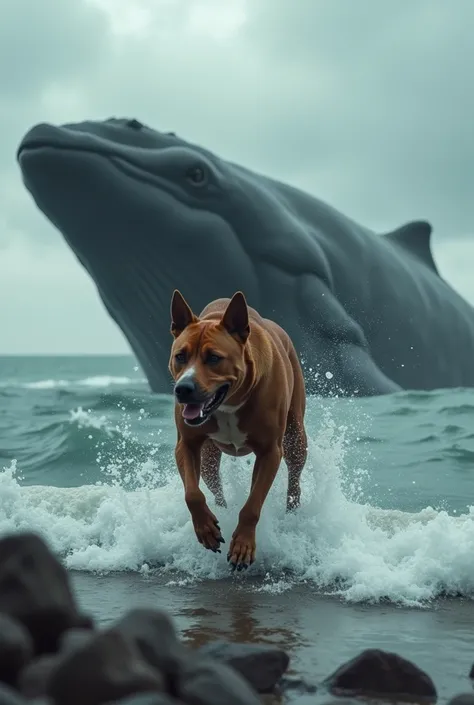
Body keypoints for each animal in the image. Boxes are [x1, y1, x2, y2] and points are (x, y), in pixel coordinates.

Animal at [168, 288, 310, 568]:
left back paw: (292, 512)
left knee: (294, 475)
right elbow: (192, 493)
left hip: (296, 436)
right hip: (209, 456)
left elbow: (253, 505)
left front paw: (243, 545)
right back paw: (221, 511)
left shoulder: (270, 451)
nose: (183, 389)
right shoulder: (187, 444)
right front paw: (206, 528)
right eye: (180, 356)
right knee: (213, 482)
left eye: (214, 358)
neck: (229, 403)